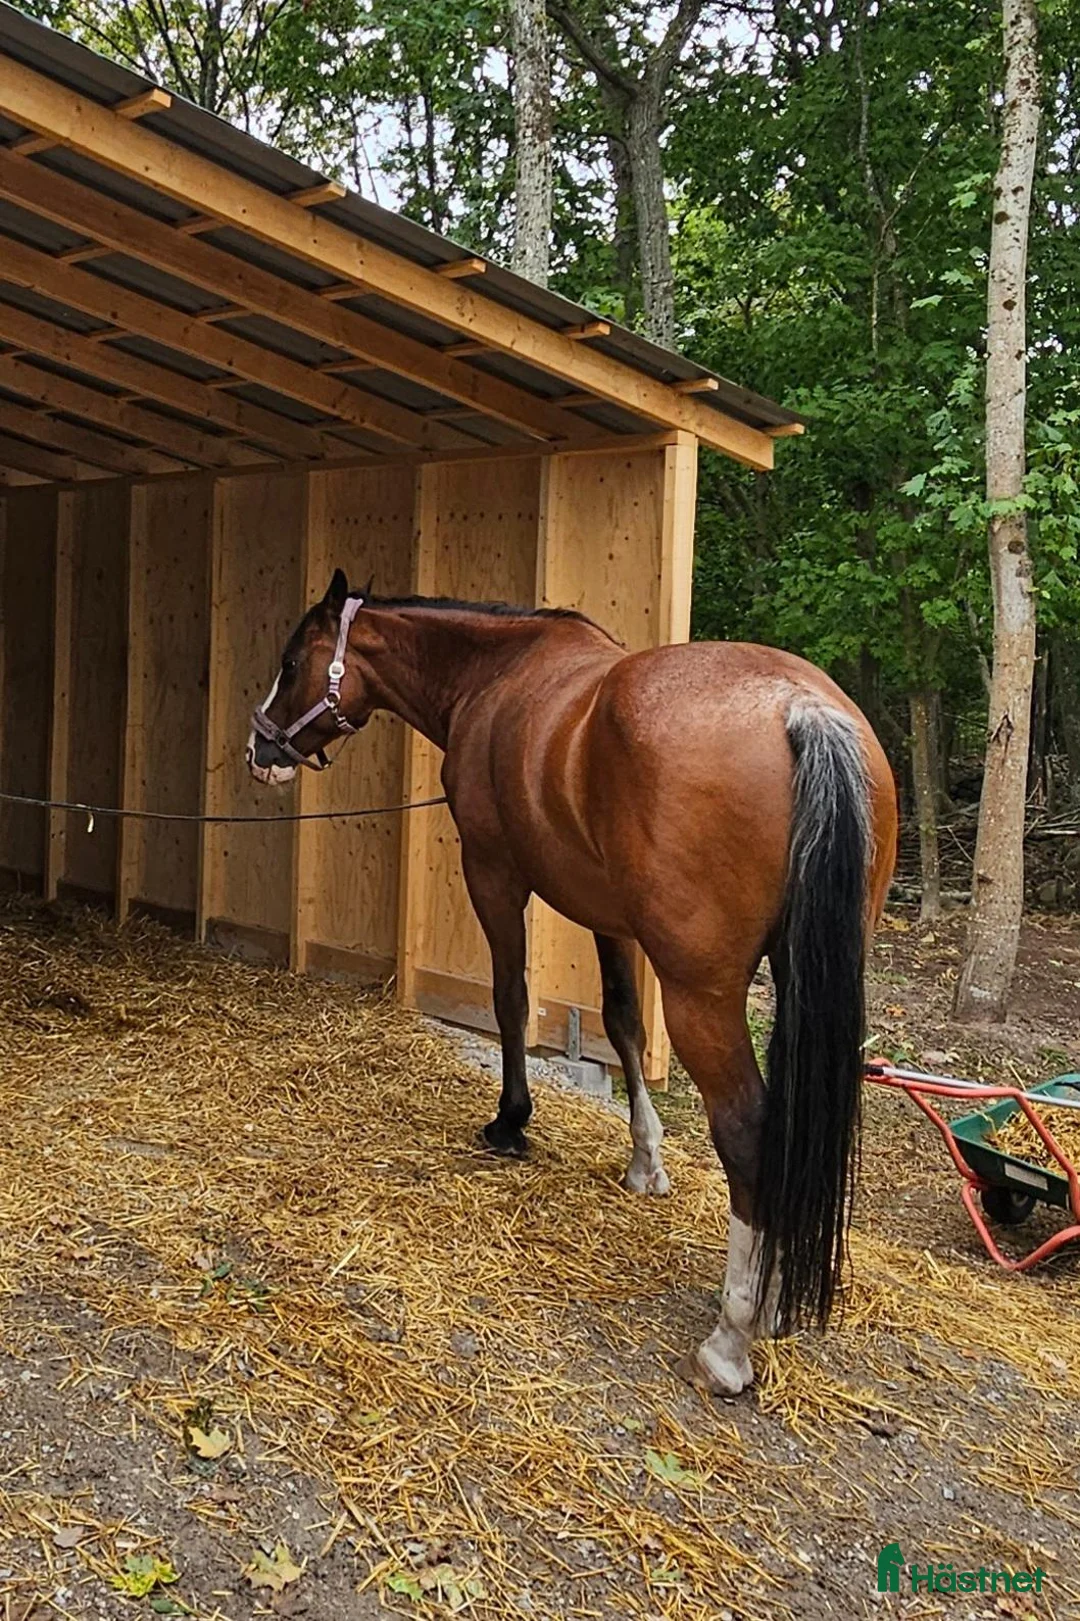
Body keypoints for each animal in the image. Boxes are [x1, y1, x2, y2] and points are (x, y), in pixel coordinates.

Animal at [247, 570, 897, 1394]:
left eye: (293, 660)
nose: (259, 747)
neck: (494, 677)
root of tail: (801, 710)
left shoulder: (494, 876)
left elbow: (511, 1000)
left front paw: (511, 1120)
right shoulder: (610, 918)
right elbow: (621, 1022)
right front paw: (645, 1160)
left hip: (703, 995)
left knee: (747, 1129)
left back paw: (731, 1337)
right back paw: (776, 1298)